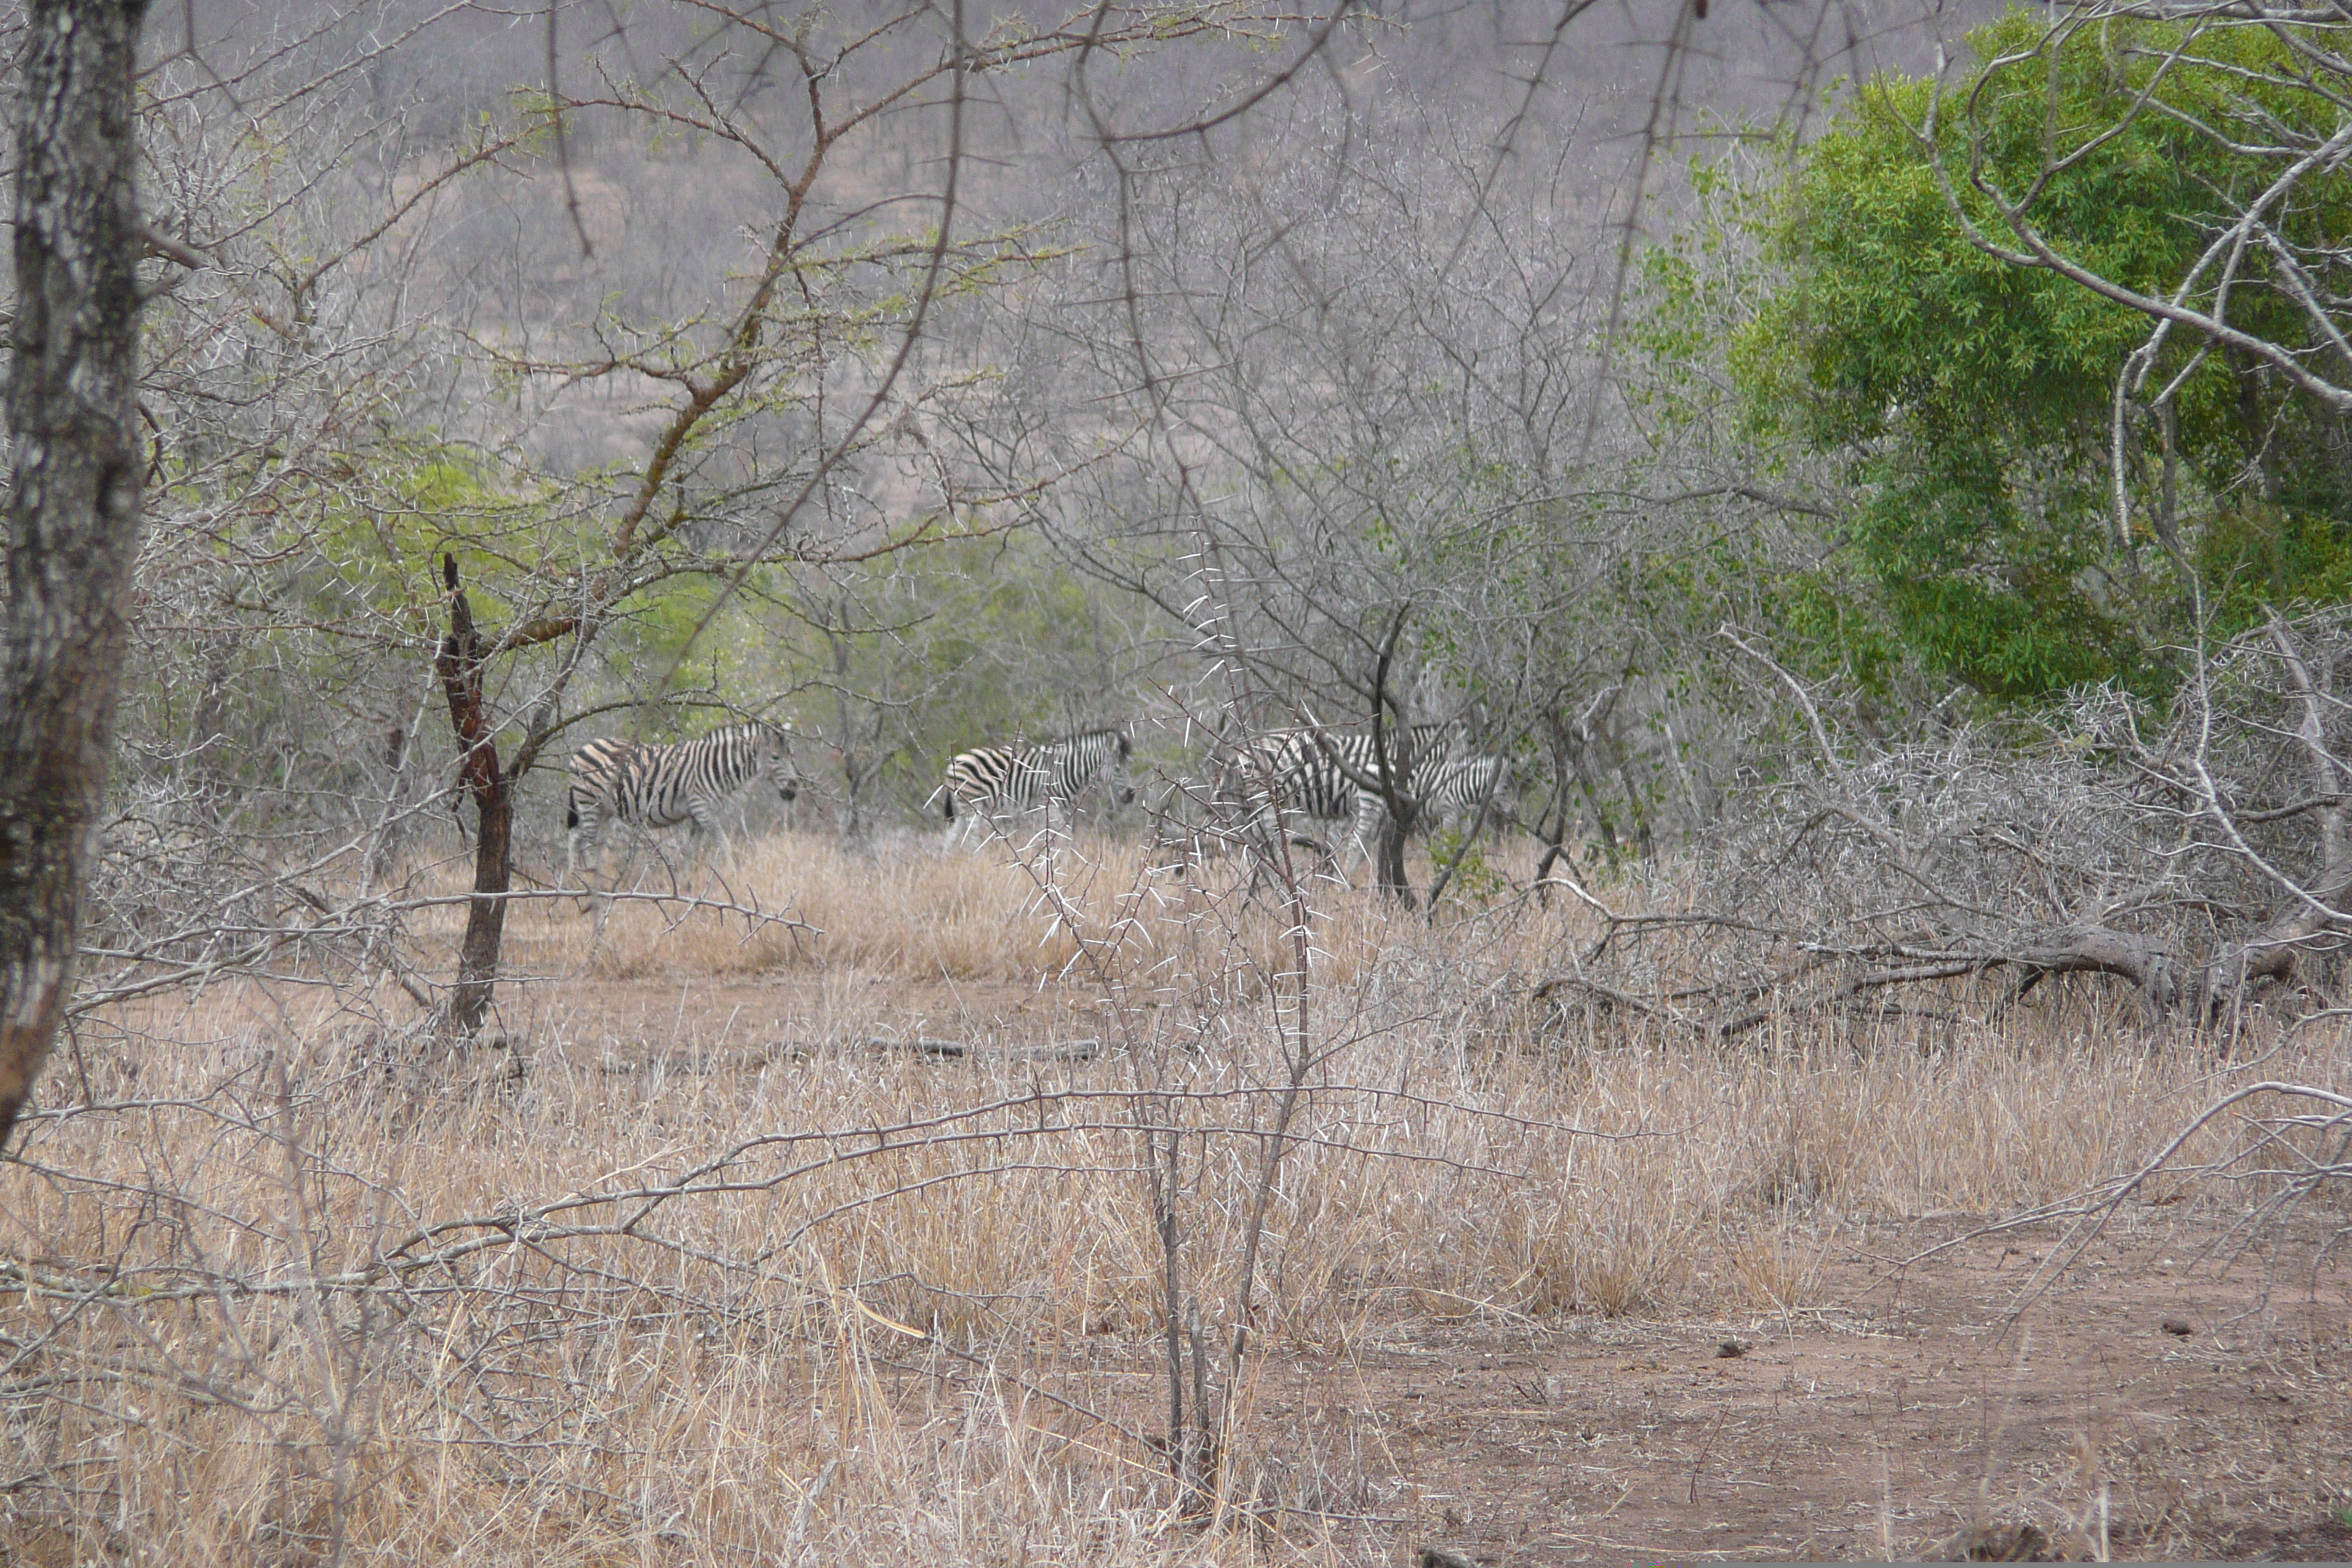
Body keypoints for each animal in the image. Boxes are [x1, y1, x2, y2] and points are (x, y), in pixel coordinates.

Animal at [562, 719, 799, 883]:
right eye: (776, 758)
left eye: (792, 757)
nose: (794, 789)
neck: (717, 766)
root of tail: (582, 748)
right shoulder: (702, 807)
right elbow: (724, 844)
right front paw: (733, 876)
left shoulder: (697, 814)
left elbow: (691, 850)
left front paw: (685, 884)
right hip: (589, 802)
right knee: (586, 841)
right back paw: (591, 882)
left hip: (605, 810)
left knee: (580, 838)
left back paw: (580, 878)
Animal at [935, 728, 1128, 851]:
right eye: (1118, 769)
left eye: (1129, 765)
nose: (1131, 796)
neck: (1067, 769)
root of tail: (953, 762)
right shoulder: (1049, 805)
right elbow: (1063, 836)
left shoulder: (1053, 808)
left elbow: (1053, 835)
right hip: (973, 804)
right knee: (972, 840)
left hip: (964, 807)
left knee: (949, 838)